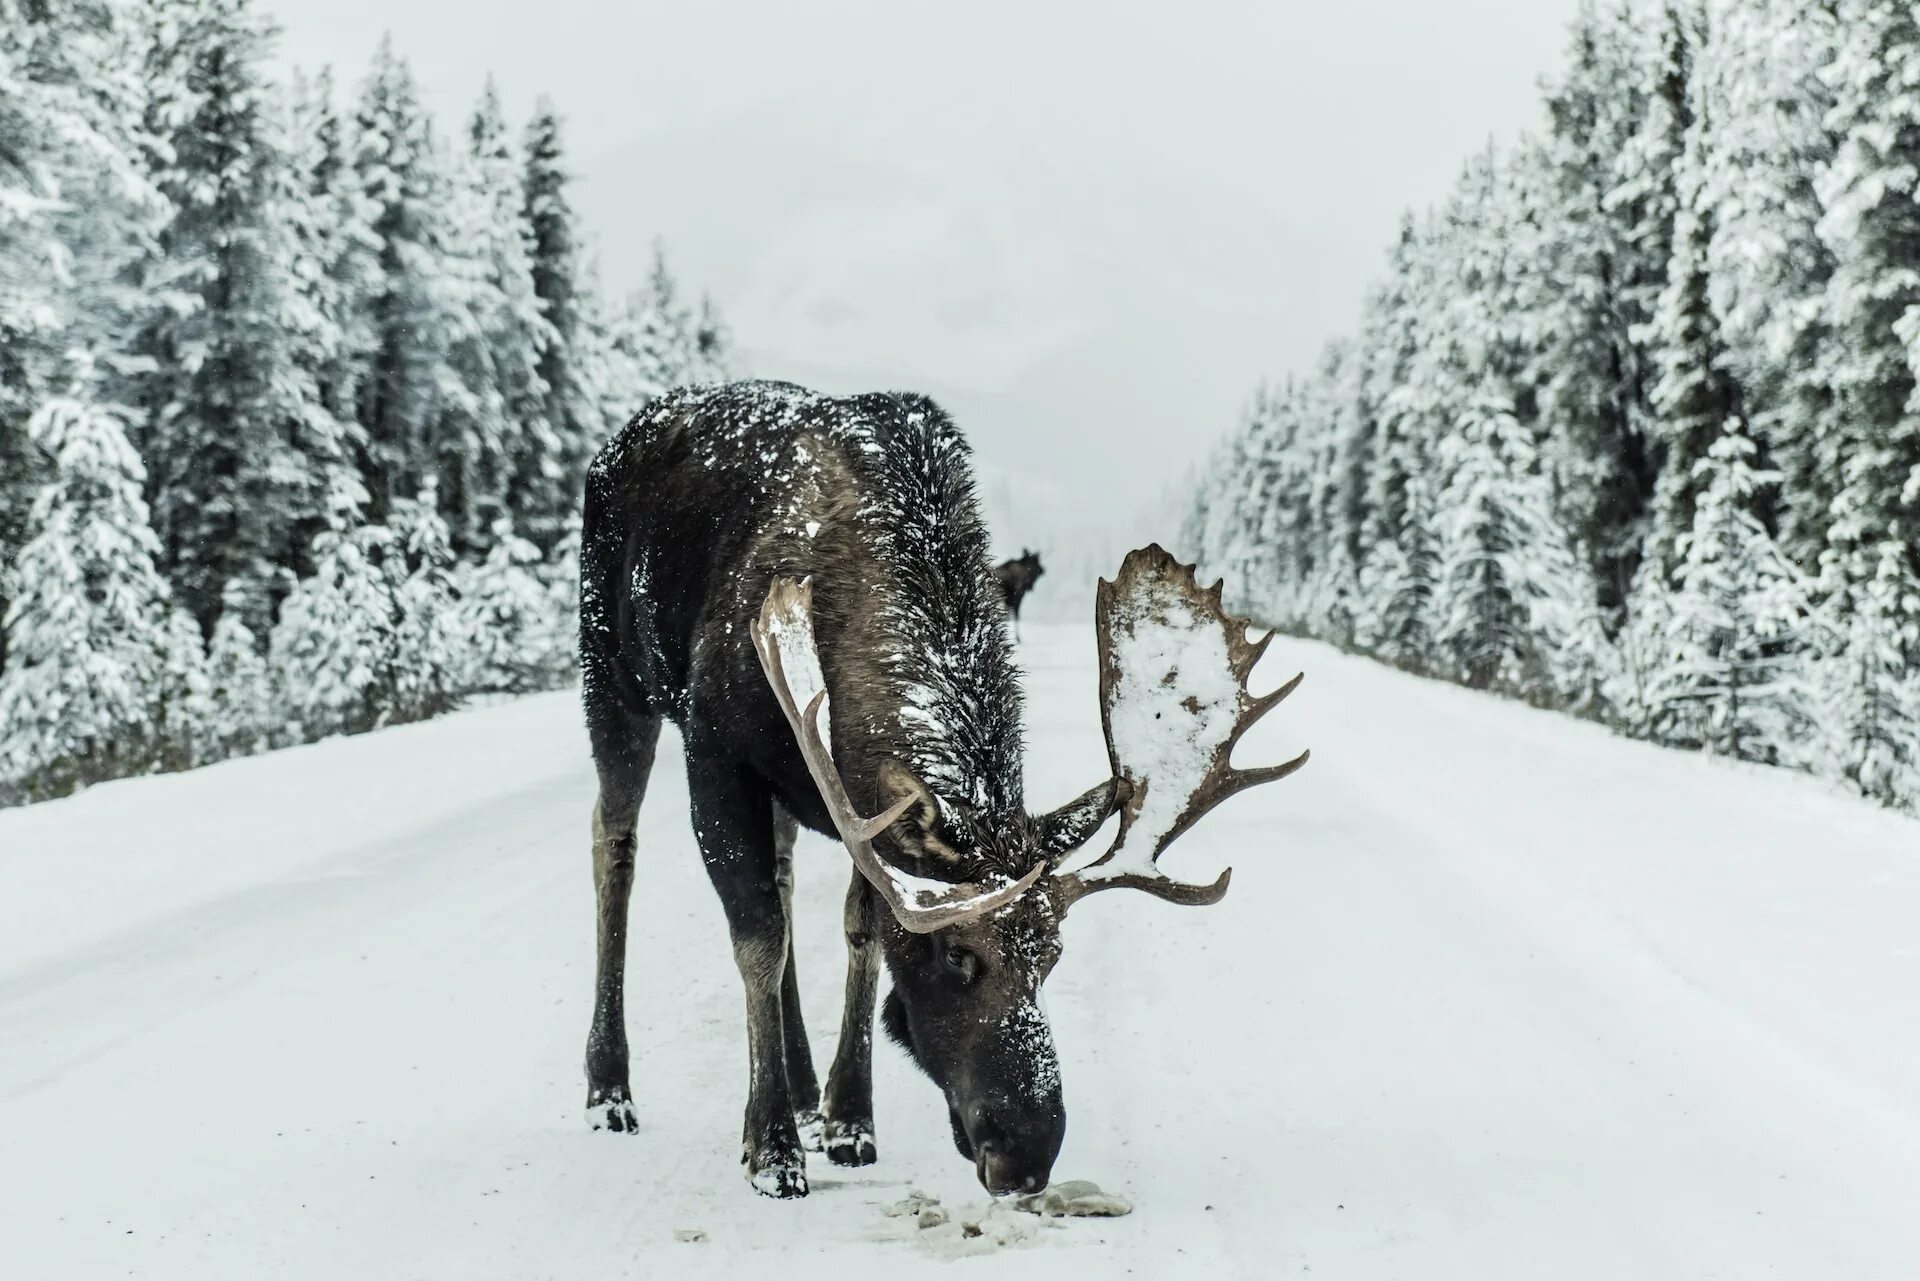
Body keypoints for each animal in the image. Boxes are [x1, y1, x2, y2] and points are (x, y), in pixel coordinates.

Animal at [579, 380, 1305, 1206]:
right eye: (958, 954)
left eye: (1053, 954)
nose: (1027, 1152)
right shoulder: (716, 746)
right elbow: (757, 936)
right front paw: (771, 1148)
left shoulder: (853, 800)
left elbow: (860, 928)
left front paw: (848, 1116)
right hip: (612, 674)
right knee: (614, 844)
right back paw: (610, 1088)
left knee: (785, 876)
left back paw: (801, 1083)